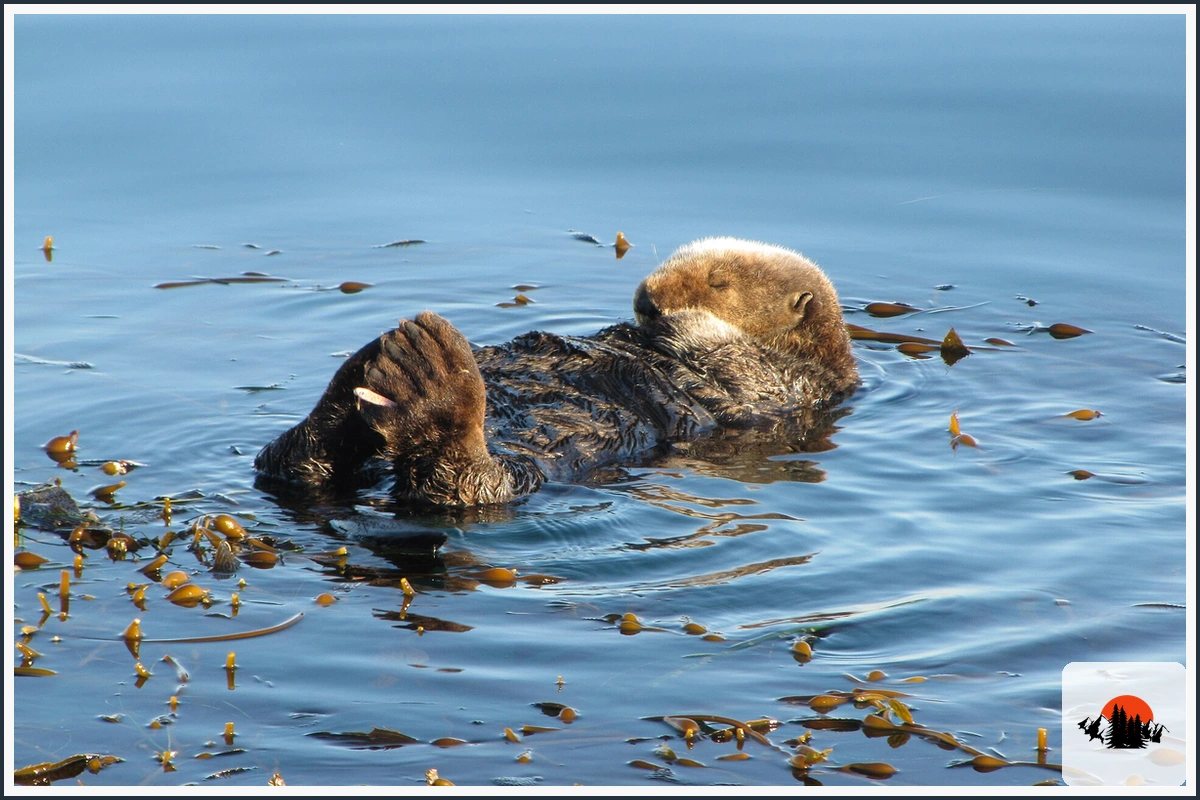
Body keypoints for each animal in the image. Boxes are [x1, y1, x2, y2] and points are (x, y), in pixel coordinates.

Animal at [254, 237, 859, 506]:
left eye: (718, 282)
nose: (646, 300)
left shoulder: (789, 386)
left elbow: (738, 362)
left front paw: (684, 321)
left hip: (511, 470)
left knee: (457, 487)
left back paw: (428, 376)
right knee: (295, 463)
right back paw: (369, 369)